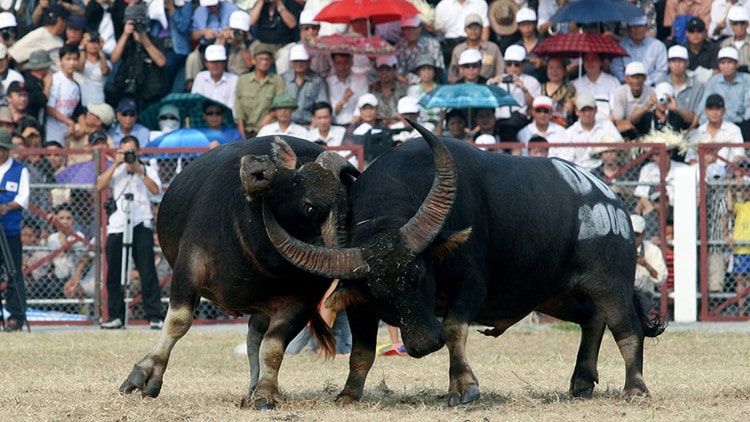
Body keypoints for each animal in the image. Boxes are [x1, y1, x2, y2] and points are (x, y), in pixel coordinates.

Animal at [119, 137, 360, 408]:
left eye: (310, 208)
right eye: (297, 172)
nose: (258, 167)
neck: (249, 246)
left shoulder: (303, 302)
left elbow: (273, 347)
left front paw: (266, 393)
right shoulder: (189, 266)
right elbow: (178, 321)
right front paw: (146, 374)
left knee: (256, 337)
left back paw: (255, 387)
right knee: (252, 337)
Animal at [266, 118, 668, 406]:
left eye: (420, 275)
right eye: (381, 294)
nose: (425, 343)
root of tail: (612, 201)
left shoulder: (469, 288)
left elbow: (456, 330)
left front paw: (463, 387)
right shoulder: (361, 303)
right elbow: (361, 352)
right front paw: (349, 394)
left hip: (609, 281)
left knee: (626, 327)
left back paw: (635, 389)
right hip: (555, 295)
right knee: (592, 318)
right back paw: (582, 381)